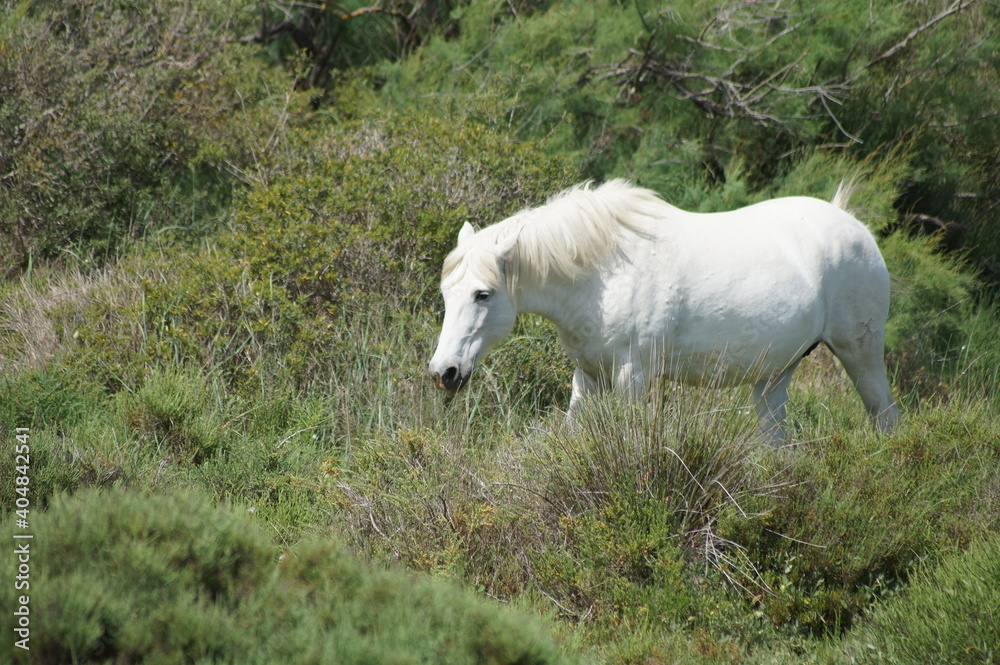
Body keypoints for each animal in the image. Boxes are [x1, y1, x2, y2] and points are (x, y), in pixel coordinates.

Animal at [428, 179, 898, 442]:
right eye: (447, 293)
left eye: (482, 294)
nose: (443, 372)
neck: (603, 274)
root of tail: (851, 223)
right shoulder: (588, 376)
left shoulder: (632, 377)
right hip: (774, 376)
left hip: (861, 353)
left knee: (885, 417)